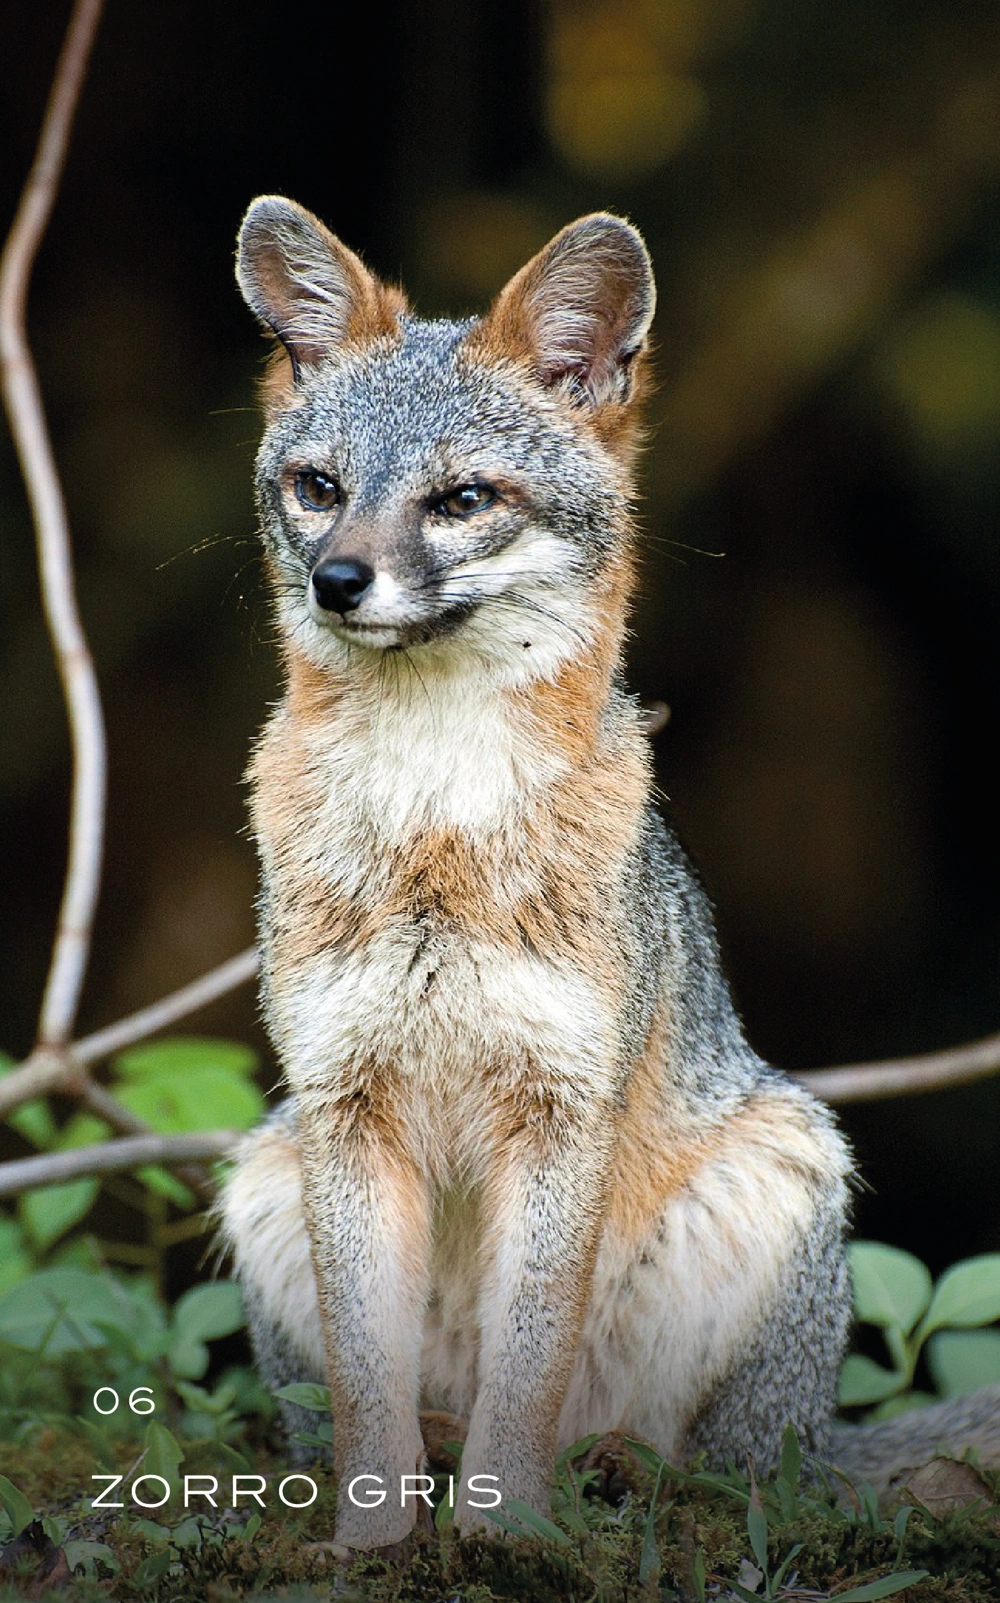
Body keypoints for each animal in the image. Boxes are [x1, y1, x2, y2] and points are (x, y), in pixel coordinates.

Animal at [219, 197, 1000, 1552]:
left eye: (460, 498)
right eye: (319, 489)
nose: (338, 581)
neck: (434, 827)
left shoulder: (561, 1101)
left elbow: (526, 1374)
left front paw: (502, 1534)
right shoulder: (341, 1098)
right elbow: (368, 1391)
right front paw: (375, 1544)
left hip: (784, 1162)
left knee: (716, 1468)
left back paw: (622, 1478)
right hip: (267, 1173)